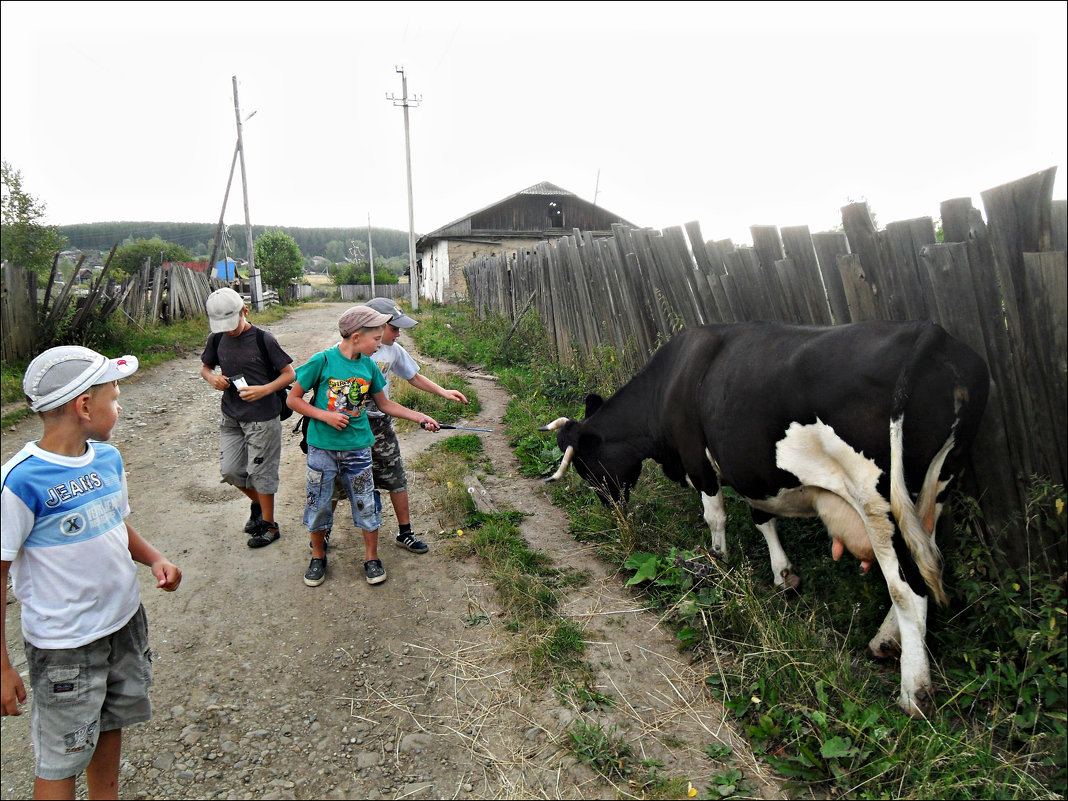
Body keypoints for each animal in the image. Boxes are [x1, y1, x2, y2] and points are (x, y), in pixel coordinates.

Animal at [546, 316, 986, 717]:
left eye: (584, 465)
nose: (612, 512)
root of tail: (929, 333)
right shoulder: (752, 469)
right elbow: (762, 518)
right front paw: (783, 574)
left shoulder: (699, 460)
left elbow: (715, 515)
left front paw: (718, 561)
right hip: (934, 489)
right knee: (925, 562)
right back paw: (885, 642)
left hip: (879, 501)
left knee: (907, 587)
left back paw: (914, 692)